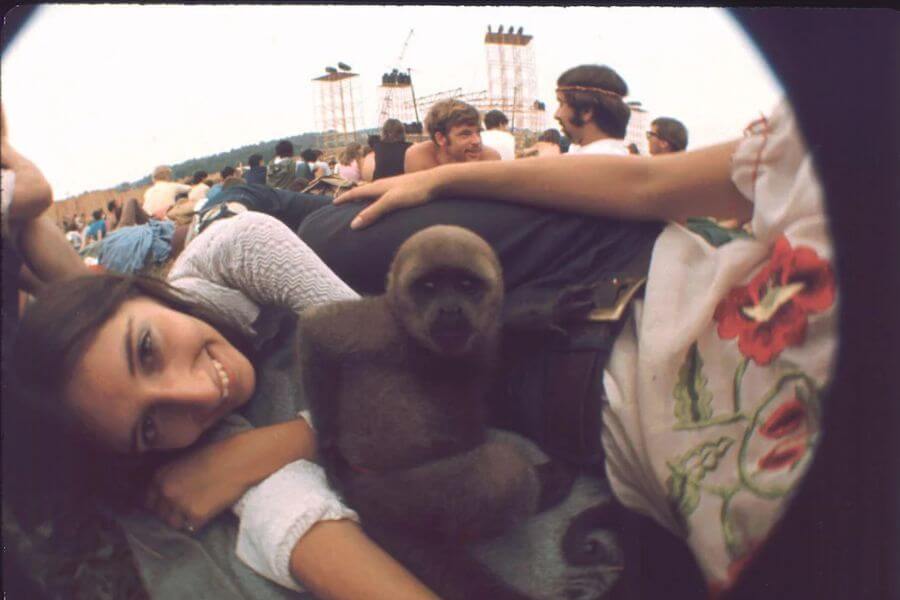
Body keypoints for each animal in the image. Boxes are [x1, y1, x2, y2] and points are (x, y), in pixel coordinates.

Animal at [298, 225, 572, 600]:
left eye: (466, 285)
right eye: (428, 287)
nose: (450, 310)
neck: (421, 348)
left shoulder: (481, 342)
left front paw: (532, 318)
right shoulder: (373, 324)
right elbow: (316, 333)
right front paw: (329, 452)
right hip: (395, 496)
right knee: (502, 474)